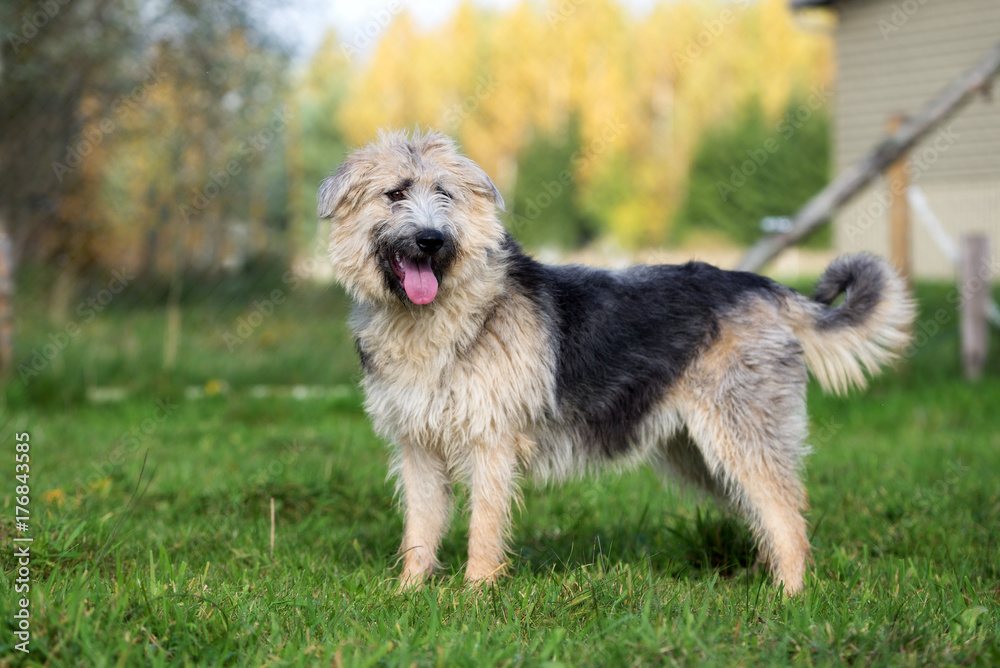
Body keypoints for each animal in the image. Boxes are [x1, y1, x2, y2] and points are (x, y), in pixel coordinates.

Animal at [320, 128, 916, 592]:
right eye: (395, 193)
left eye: (444, 194)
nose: (430, 240)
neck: (438, 315)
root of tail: (766, 287)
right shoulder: (418, 446)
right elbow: (419, 531)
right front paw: (408, 594)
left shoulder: (491, 444)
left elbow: (484, 528)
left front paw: (475, 597)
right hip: (699, 454)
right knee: (771, 513)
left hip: (742, 436)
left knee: (787, 514)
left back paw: (790, 600)